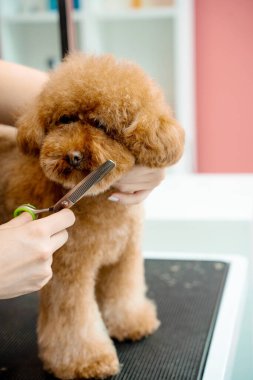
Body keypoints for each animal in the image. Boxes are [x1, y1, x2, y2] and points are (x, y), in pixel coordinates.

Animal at [0, 54, 185, 380]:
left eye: (101, 124)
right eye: (65, 119)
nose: (73, 156)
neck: (100, 203)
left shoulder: (124, 256)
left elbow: (123, 293)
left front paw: (131, 322)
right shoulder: (67, 272)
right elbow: (74, 321)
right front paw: (85, 361)